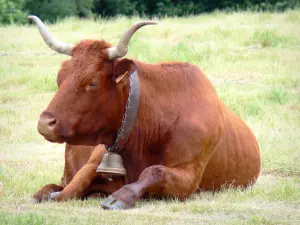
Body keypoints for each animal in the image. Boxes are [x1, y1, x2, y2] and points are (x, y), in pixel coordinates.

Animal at [29, 15, 262, 209]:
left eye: (92, 82)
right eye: (59, 77)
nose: (44, 123)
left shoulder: (190, 176)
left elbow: (154, 171)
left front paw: (121, 196)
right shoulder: (95, 161)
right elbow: (71, 189)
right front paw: (48, 195)